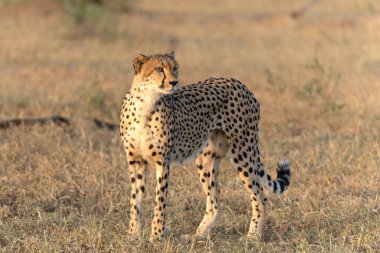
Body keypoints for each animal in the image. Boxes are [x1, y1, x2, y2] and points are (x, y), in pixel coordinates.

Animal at [119, 51, 290, 241]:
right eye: (159, 69)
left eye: (175, 68)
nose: (174, 82)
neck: (146, 102)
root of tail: (238, 83)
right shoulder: (136, 161)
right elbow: (135, 199)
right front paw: (133, 235)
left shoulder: (162, 162)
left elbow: (160, 201)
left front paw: (156, 237)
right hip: (206, 159)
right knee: (215, 201)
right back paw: (198, 235)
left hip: (243, 150)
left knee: (260, 197)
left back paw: (253, 236)